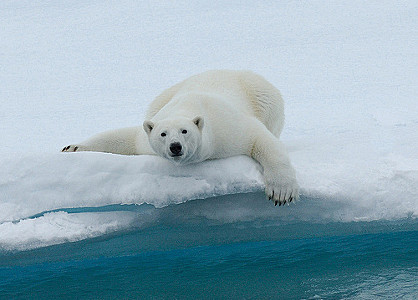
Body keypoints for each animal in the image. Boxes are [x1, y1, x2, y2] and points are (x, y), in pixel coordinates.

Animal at [61, 70, 298, 206]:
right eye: (163, 134)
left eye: (185, 131)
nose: (175, 147)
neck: (189, 105)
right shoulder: (149, 135)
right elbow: (126, 138)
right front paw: (72, 148)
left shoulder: (228, 129)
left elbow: (261, 139)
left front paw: (281, 193)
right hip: (161, 96)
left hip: (265, 97)